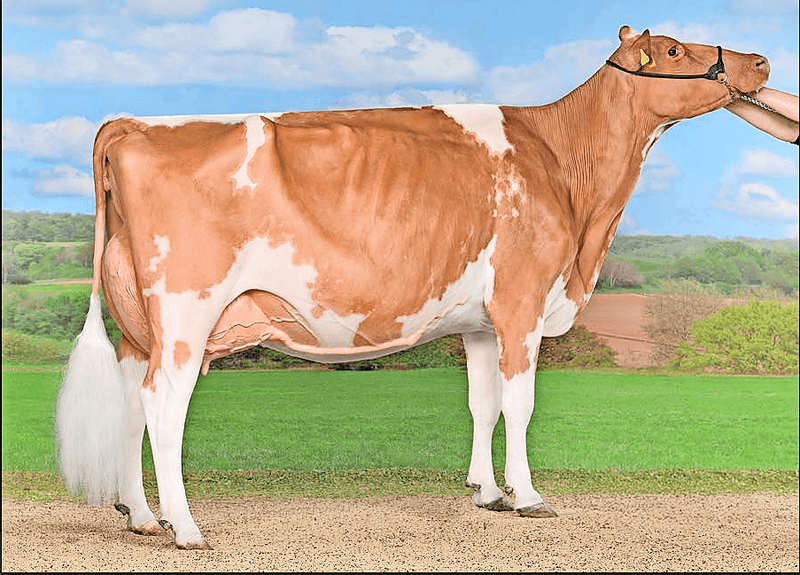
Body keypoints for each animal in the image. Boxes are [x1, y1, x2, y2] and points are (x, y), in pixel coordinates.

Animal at [56, 25, 770, 549]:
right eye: (675, 50)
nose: (761, 60)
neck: (568, 172)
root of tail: (133, 124)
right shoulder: (521, 303)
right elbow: (520, 404)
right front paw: (529, 497)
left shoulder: (480, 323)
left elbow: (484, 404)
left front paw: (488, 493)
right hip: (186, 312)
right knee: (162, 404)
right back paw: (185, 528)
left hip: (138, 326)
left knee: (130, 399)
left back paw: (141, 516)